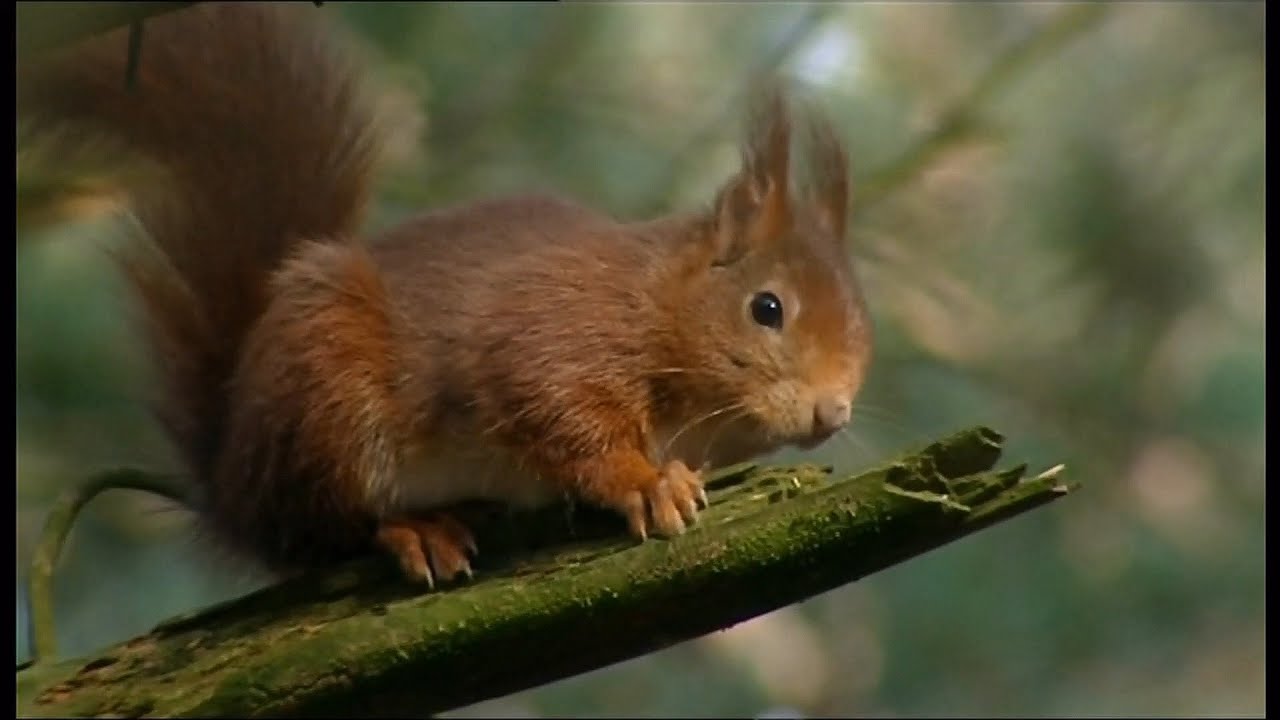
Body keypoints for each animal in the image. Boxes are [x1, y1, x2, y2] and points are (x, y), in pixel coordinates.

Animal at [20, 4, 875, 584]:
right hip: (326, 402)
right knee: (326, 529)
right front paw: (646, 481)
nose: (833, 413)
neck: (652, 299)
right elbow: (560, 414)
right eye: (768, 308)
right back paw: (416, 527)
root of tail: (230, 475)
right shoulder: (551, 332)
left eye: (864, 336)